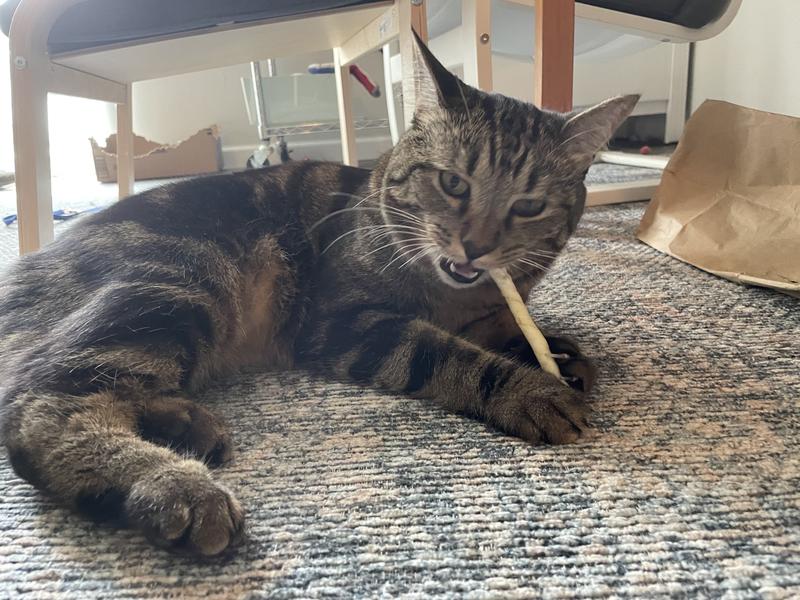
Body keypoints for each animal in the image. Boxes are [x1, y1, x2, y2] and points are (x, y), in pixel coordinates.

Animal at [0, 35, 637, 557]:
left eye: (529, 205)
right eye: (454, 182)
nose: (477, 247)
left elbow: (504, 326)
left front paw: (554, 354)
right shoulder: (341, 321)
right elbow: (444, 352)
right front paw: (532, 388)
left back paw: (185, 424)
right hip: (176, 282)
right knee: (40, 404)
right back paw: (173, 486)